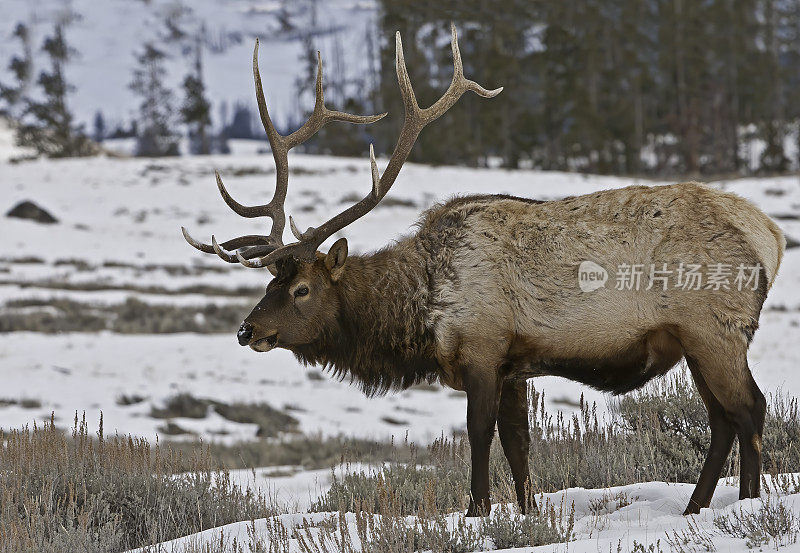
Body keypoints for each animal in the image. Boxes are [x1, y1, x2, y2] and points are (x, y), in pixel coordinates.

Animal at [180, 24, 780, 516]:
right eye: (270, 281)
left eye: (302, 289)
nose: (247, 329)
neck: (422, 317)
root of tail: (769, 237)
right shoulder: (515, 365)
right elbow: (518, 443)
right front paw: (528, 509)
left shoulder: (483, 348)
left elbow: (478, 434)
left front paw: (476, 511)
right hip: (693, 340)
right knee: (722, 420)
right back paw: (696, 508)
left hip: (714, 329)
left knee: (750, 409)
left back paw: (749, 504)